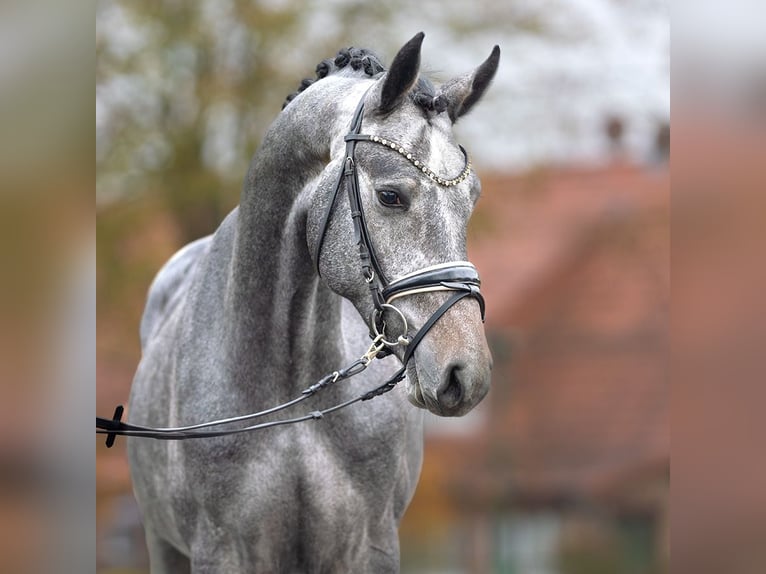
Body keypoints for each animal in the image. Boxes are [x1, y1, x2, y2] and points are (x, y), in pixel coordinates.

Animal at [129, 33, 500, 572]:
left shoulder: (370, 546)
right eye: (390, 196)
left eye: (472, 198)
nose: (464, 372)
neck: (290, 391)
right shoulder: (220, 550)